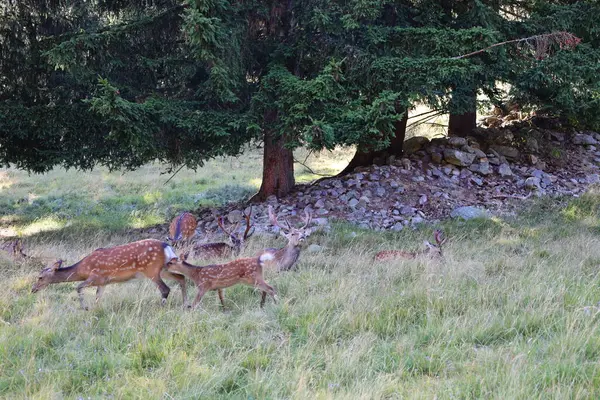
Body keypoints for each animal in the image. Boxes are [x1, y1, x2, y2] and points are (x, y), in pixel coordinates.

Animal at [30, 238, 189, 310]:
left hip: (151, 270)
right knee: (181, 277)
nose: (33, 289)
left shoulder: (96, 276)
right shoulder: (103, 282)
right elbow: (97, 297)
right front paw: (95, 310)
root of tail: (167, 247)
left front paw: (85, 308)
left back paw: (162, 307)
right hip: (164, 269)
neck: (82, 269)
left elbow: (78, 287)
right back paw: (185, 304)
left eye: (40, 277)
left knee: (165, 288)